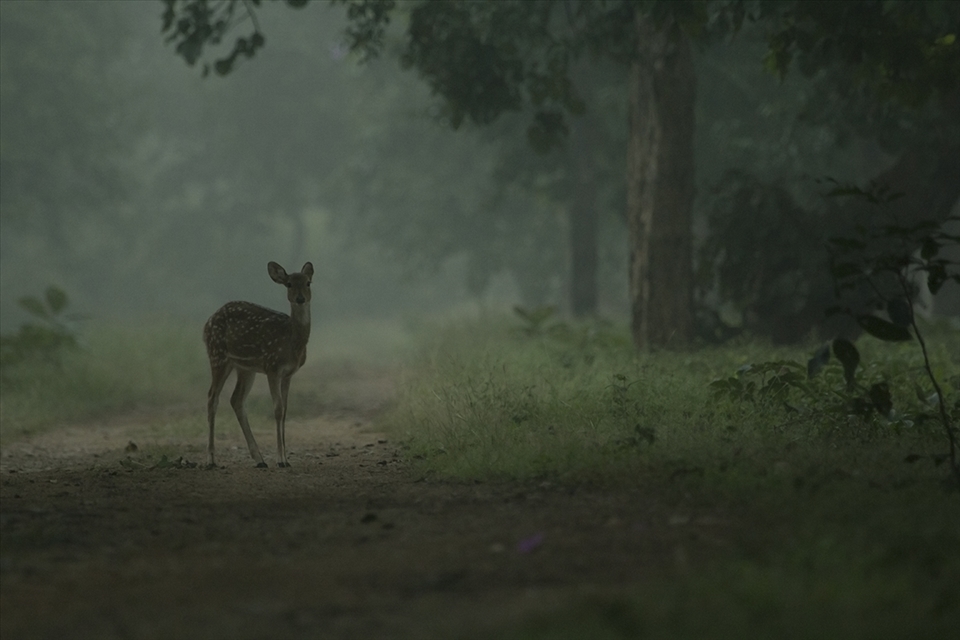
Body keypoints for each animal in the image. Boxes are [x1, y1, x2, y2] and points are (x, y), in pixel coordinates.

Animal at [203, 261, 314, 468]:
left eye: (308, 282)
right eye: (288, 284)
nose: (300, 299)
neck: (292, 343)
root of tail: (207, 323)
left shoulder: (288, 373)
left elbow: (285, 410)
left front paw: (286, 459)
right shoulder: (272, 367)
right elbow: (277, 409)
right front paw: (280, 459)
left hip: (245, 368)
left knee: (236, 399)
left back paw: (259, 459)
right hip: (217, 355)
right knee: (212, 397)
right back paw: (211, 459)